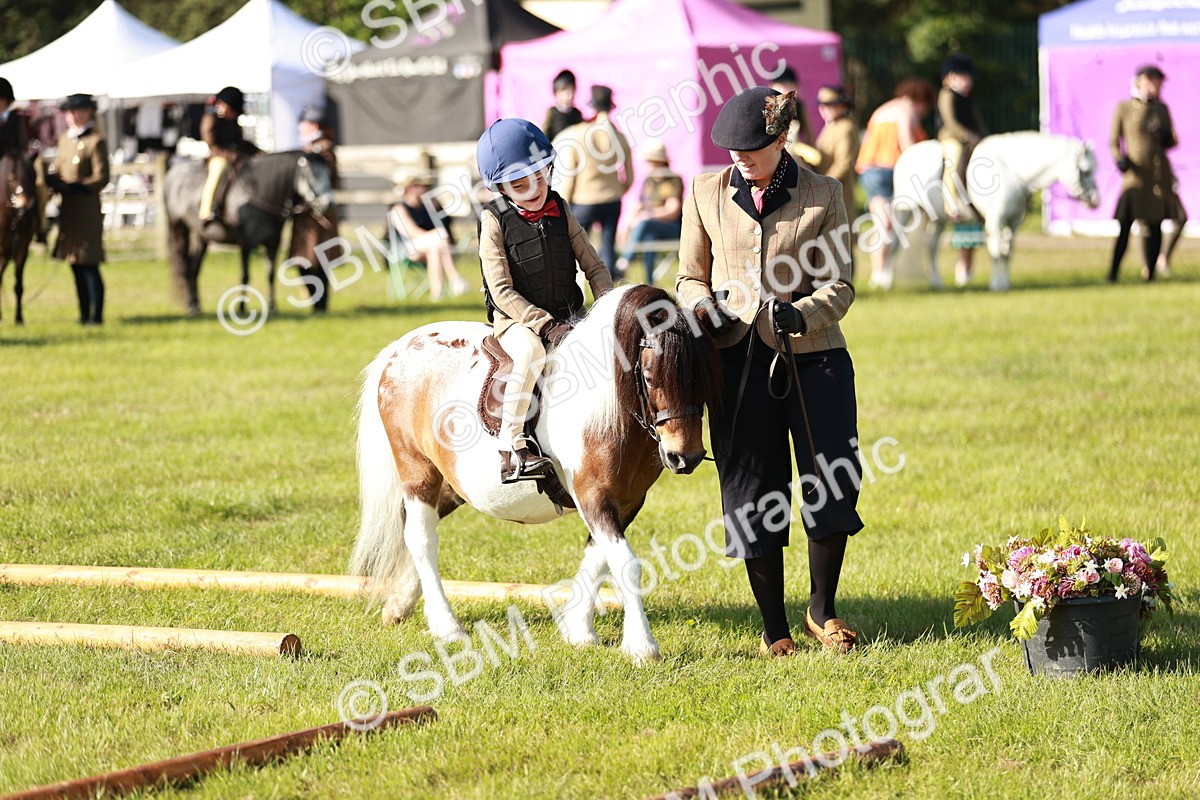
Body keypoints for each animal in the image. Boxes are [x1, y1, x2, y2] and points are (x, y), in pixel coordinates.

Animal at [164, 151, 333, 315]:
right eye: (312, 175)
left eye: (328, 174)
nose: (329, 204)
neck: (261, 194)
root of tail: (174, 171)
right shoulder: (246, 244)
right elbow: (245, 275)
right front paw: (241, 307)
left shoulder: (273, 244)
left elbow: (270, 275)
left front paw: (272, 307)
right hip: (179, 228)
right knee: (184, 266)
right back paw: (191, 307)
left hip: (202, 237)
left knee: (194, 269)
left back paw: (196, 305)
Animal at [350, 284, 723, 663]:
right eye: (648, 377)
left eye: (704, 376)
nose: (685, 457)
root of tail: (399, 349)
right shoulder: (593, 496)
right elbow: (625, 564)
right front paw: (641, 646)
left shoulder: (628, 501)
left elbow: (598, 559)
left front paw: (579, 631)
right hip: (417, 469)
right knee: (421, 538)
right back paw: (447, 626)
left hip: (454, 484)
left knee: (419, 528)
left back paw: (399, 605)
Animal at [874, 132, 1100, 291]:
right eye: (1085, 170)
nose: (1096, 201)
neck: (1013, 173)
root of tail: (907, 154)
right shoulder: (996, 221)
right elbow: (996, 253)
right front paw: (996, 285)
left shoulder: (1013, 224)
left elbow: (1008, 253)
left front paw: (1006, 283)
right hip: (905, 210)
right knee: (893, 243)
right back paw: (886, 282)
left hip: (938, 219)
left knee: (930, 247)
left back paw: (937, 283)